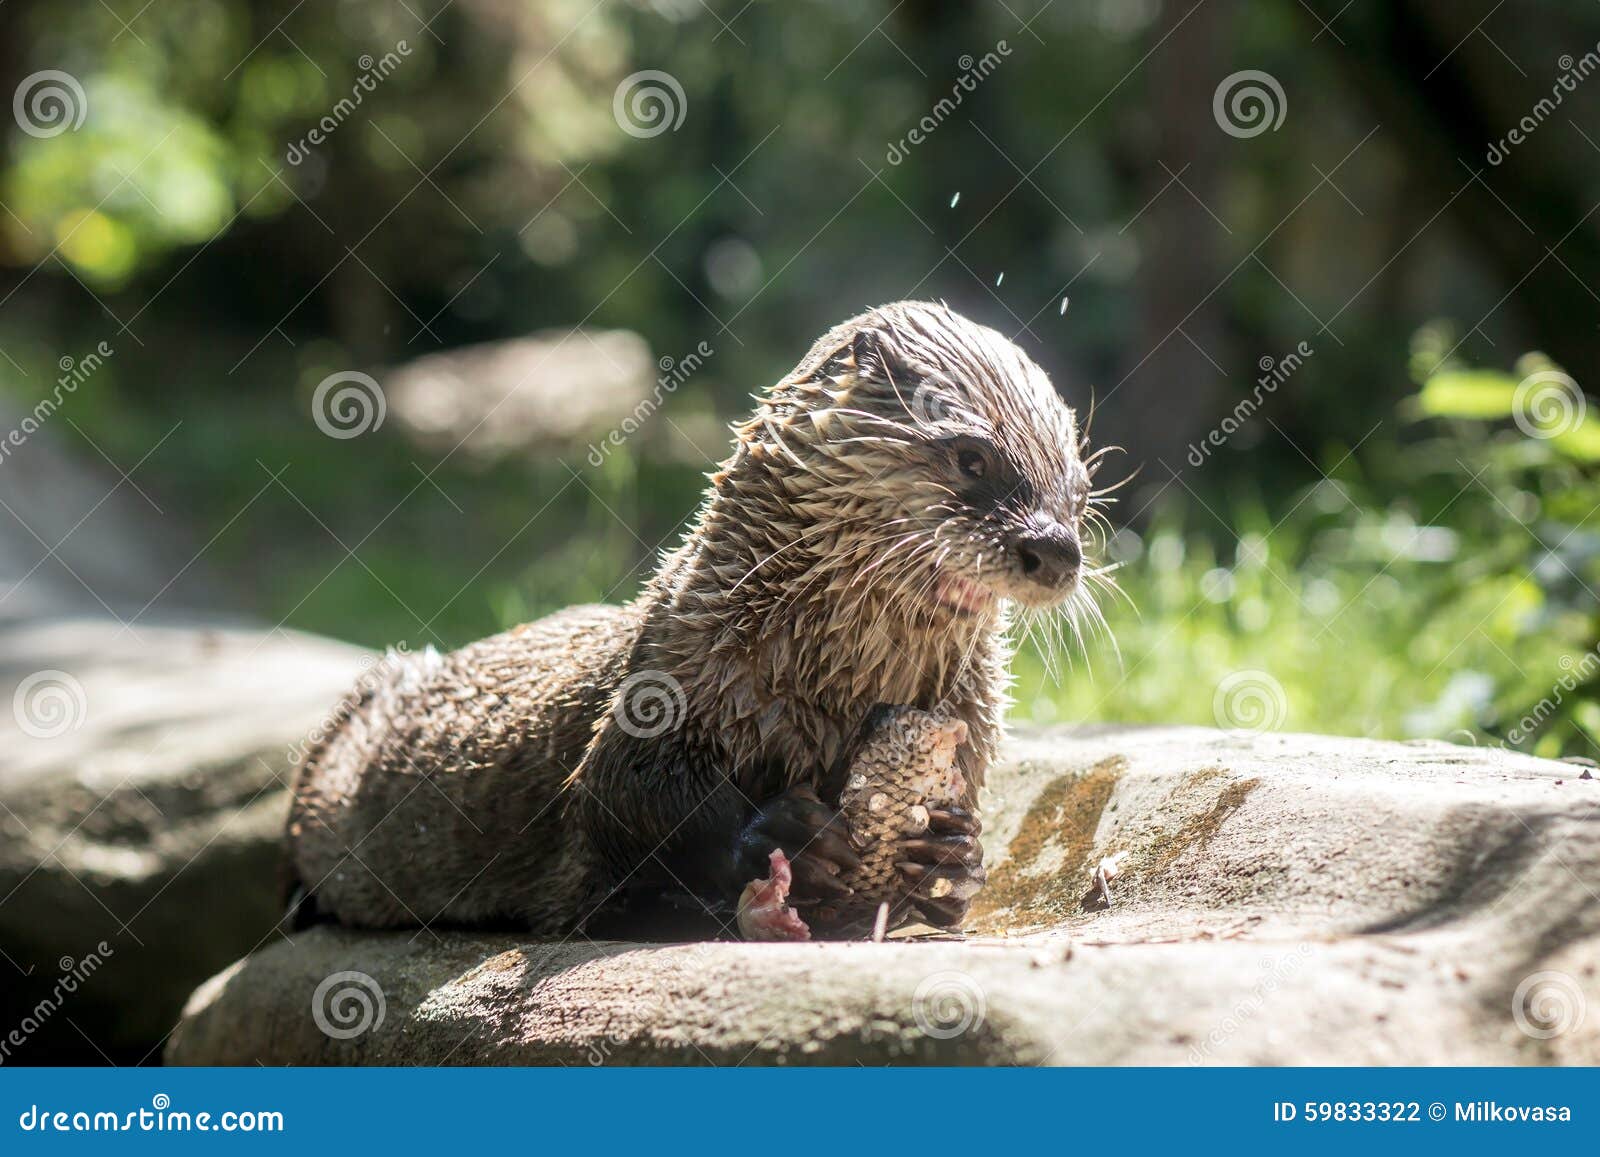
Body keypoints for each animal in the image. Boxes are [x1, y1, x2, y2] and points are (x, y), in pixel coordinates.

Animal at [286, 300, 1100, 937]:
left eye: (1080, 489)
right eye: (971, 456)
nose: (1055, 548)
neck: (820, 680)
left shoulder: (971, 722)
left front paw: (952, 851)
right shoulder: (666, 675)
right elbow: (622, 793)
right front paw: (781, 835)